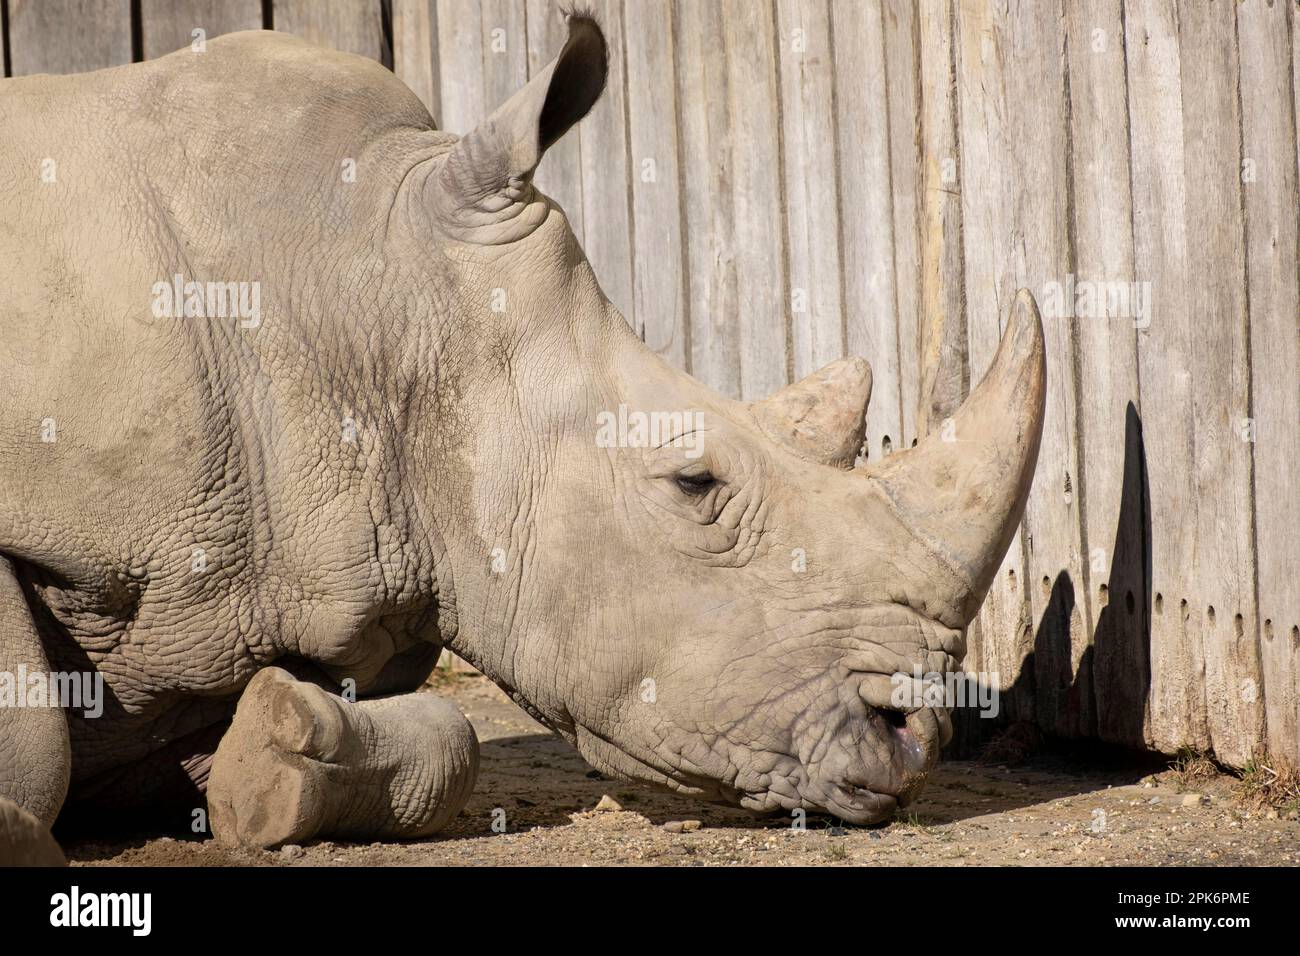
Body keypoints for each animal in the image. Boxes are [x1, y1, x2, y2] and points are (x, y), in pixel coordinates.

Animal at [0, 14, 1045, 858]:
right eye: (694, 484)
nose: (915, 736)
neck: (359, 285)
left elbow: (442, 738)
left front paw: (271, 759)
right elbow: (38, 740)